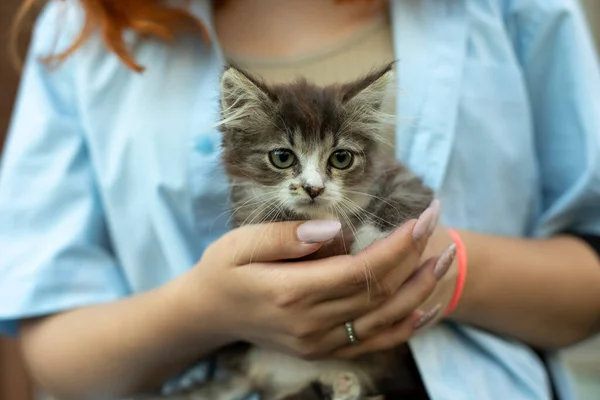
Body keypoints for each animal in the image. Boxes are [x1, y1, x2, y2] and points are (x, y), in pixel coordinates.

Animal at [183, 64, 436, 400]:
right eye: (282, 157)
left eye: (341, 158)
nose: (313, 188)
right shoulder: (247, 217)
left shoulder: (401, 178)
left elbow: (404, 198)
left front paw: (370, 239)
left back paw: (343, 385)